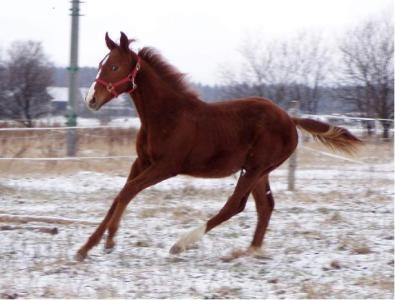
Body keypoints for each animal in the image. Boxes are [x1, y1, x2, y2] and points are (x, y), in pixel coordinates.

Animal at [76, 31, 364, 260]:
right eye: (101, 64)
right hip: (258, 170)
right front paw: (90, 246)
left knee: (235, 205)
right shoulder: (142, 162)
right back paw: (251, 251)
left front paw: (107, 241)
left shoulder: (166, 166)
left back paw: (182, 244)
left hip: (256, 167)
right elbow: (120, 195)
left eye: (114, 67)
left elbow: (127, 192)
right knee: (265, 206)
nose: (91, 99)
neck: (167, 115)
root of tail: (289, 119)